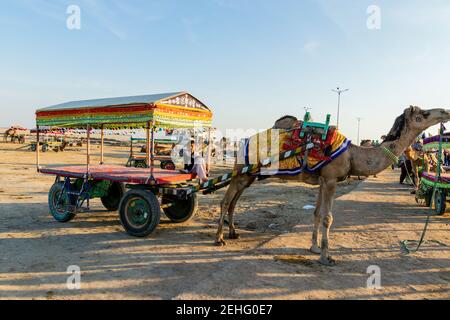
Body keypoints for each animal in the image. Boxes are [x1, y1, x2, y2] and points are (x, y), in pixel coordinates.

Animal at [215, 105, 450, 264]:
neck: (353, 155)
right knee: (226, 201)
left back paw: (233, 233)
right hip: (241, 173)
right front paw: (326, 256)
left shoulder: (322, 180)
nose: (445, 111)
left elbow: (317, 213)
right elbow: (328, 217)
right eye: (422, 114)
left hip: (249, 176)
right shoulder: (330, 180)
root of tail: (242, 142)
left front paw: (314, 247)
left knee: (234, 202)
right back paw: (219, 239)